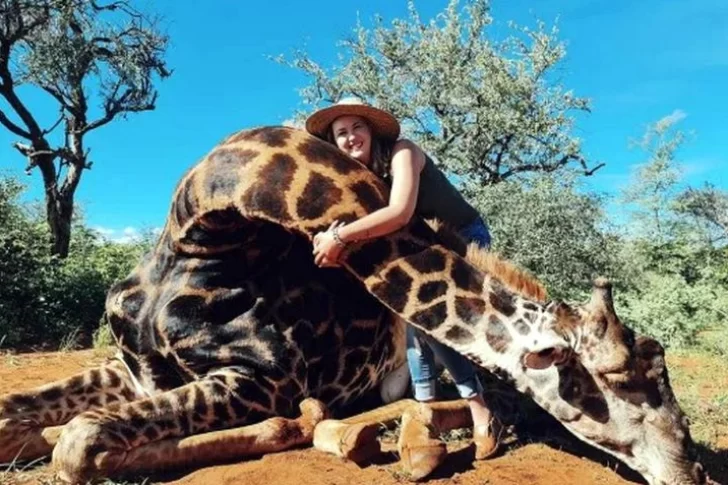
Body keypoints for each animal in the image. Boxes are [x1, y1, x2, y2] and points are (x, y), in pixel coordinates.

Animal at [0, 126, 710, 485]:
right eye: (622, 385)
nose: (691, 473)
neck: (198, 234)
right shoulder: (132, 367)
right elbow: (25, 415)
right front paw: (31, 432)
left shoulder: (263, 380)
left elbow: (80, 445)